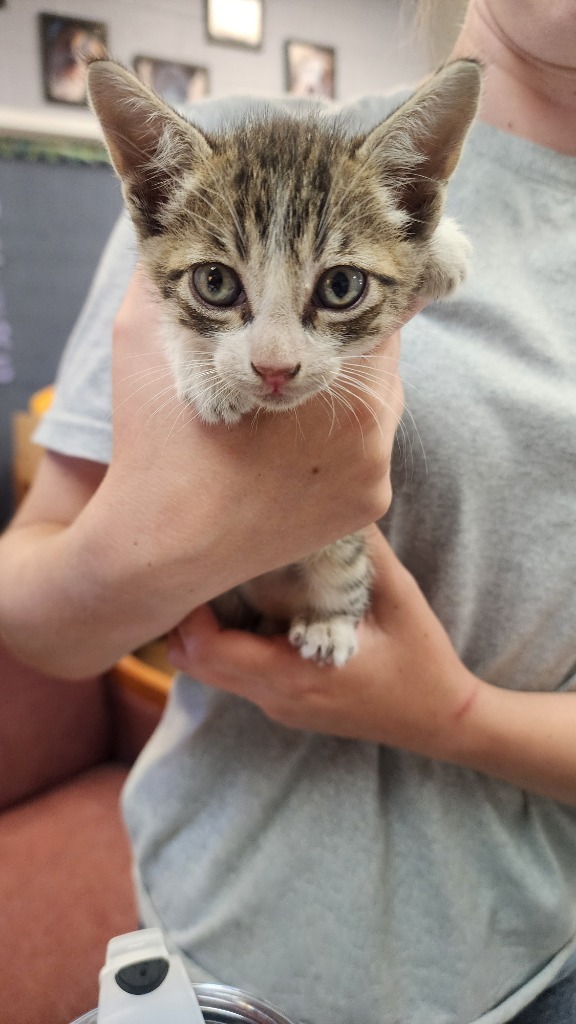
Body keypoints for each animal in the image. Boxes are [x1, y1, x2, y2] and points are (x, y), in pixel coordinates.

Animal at [86, 58, 479, 663]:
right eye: (215, 282)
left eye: (341, 286)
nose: (274, 368)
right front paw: (206, 378)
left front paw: (443, 249)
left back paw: (330, 621)